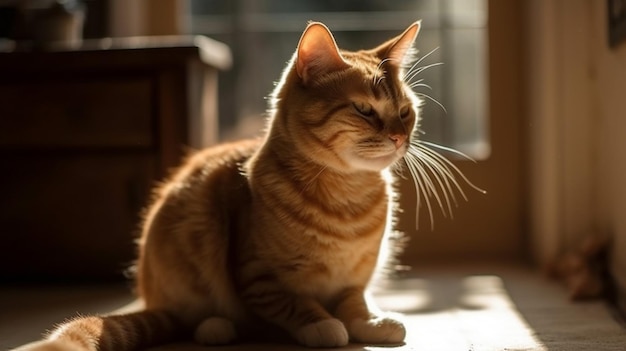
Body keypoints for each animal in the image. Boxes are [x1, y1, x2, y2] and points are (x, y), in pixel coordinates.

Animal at [12, 21, 460, 351]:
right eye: (365, 110)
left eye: (406, 112)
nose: (400, 137)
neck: (348, 198)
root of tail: (152, 296)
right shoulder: (257, 274)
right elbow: (297, 305)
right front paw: (323, 325)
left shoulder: (356, 277)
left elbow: (355, 303)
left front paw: (373, 322)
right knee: (195, 320)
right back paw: (217, 327)